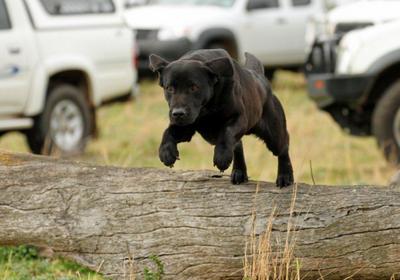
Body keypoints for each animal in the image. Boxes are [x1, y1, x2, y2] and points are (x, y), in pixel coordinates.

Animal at [150, 49, 294, 187]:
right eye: (169, 88)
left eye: (194, 87)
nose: (178, 113)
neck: (206, 110)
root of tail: (260, 77)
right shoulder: (185, 128)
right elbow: (168, 132)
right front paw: (166, 153)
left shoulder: (239, 117)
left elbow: (227, 132)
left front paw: (222, 157)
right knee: (238, 145)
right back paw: (239, 172)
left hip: (274, 134)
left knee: (283, 147)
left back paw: (285, 177)